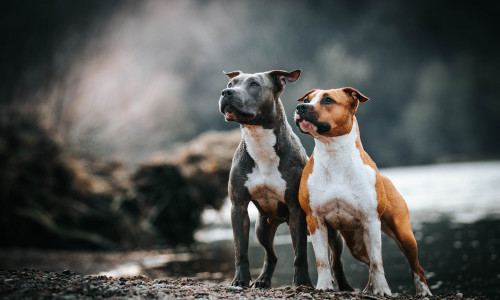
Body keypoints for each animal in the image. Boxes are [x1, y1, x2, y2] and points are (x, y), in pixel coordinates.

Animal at [220, 69, 312, 288]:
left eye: (254, 84)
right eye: (230, 83)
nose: (226, 92)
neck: (259, 140)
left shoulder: (296, 210)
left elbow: (300, 254)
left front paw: (302, 282)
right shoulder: (238, 207)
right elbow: (240, 250)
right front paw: (240, 279)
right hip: (262, 228)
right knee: (272, 255)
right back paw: (262, 280)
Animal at [294, 88, 432, 296]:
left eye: (328, 100)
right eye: (307, 99)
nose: (300, 107)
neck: (333, 153)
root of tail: (385, 177)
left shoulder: (371, 220)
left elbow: (377, 262)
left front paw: (383, 290)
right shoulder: (315, 220)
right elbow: (322, 260)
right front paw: (324, 286)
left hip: (404, 234)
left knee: (415, 266)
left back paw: (423, 291)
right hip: (356, 244)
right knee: (367, 263)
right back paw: (367, 290)